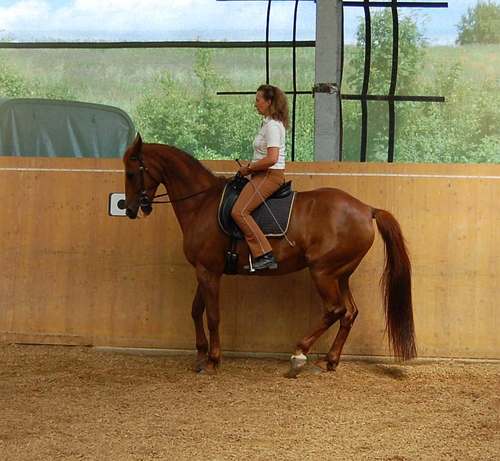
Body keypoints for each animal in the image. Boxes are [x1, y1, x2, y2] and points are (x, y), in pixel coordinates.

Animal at [123, 135, 416, 376]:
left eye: (131, 173)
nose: (130, 209)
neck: (201, 203)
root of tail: (367, 209)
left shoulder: (209, 271)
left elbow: (213, 315)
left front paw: (213, 360)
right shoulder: (204, 269)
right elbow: (196, 310)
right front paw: (200, 355)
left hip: (323, 272)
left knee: (335, 310)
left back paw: (299, 355)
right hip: (340, 274)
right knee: (349, 313)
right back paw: (329, 361)